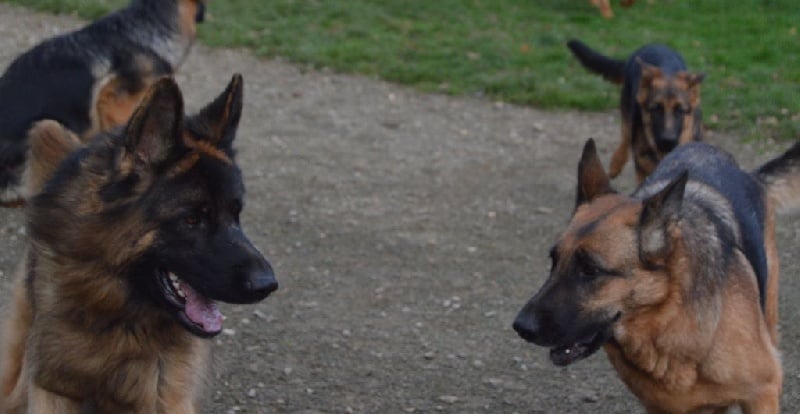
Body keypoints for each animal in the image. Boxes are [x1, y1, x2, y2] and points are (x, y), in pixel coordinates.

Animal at [0, 75, 278, 414]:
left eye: (236, 214)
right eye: (192, 219)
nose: (268, 284)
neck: (119, 319)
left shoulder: (168, 395)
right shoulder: (51, 388)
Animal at [512, 138, 800, 410]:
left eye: (590, 270)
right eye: (554, 260)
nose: (520, 326)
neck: (670, 320)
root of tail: (750, 175)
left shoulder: (762, 394)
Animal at [564, 40, 704, 183]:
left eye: (680, 111)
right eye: (656, 109)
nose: (667, 142)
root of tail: (653, 44)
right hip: (628, 114)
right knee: (625, 138)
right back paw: (616, 163)